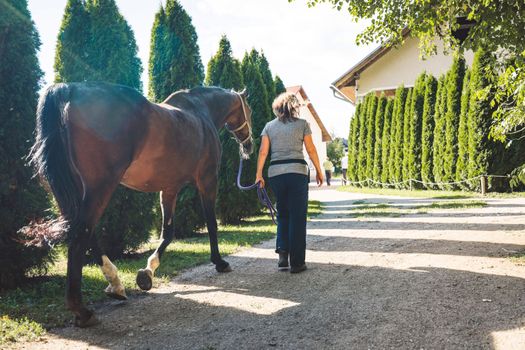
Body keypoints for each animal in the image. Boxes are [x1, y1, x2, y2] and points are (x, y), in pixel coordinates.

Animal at [29, 81, 254, 326]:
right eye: (249, 110)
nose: (249, 146)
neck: (201, 111)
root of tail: (70, 89)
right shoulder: (207, 181)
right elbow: (211, 224)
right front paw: (220, 262)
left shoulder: (170, 188)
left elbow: (168, 232)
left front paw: (148, 272)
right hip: (100, 186)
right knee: (80, 236)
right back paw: (83, 310)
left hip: (72, 192)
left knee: (87, 233)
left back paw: (115, 284)